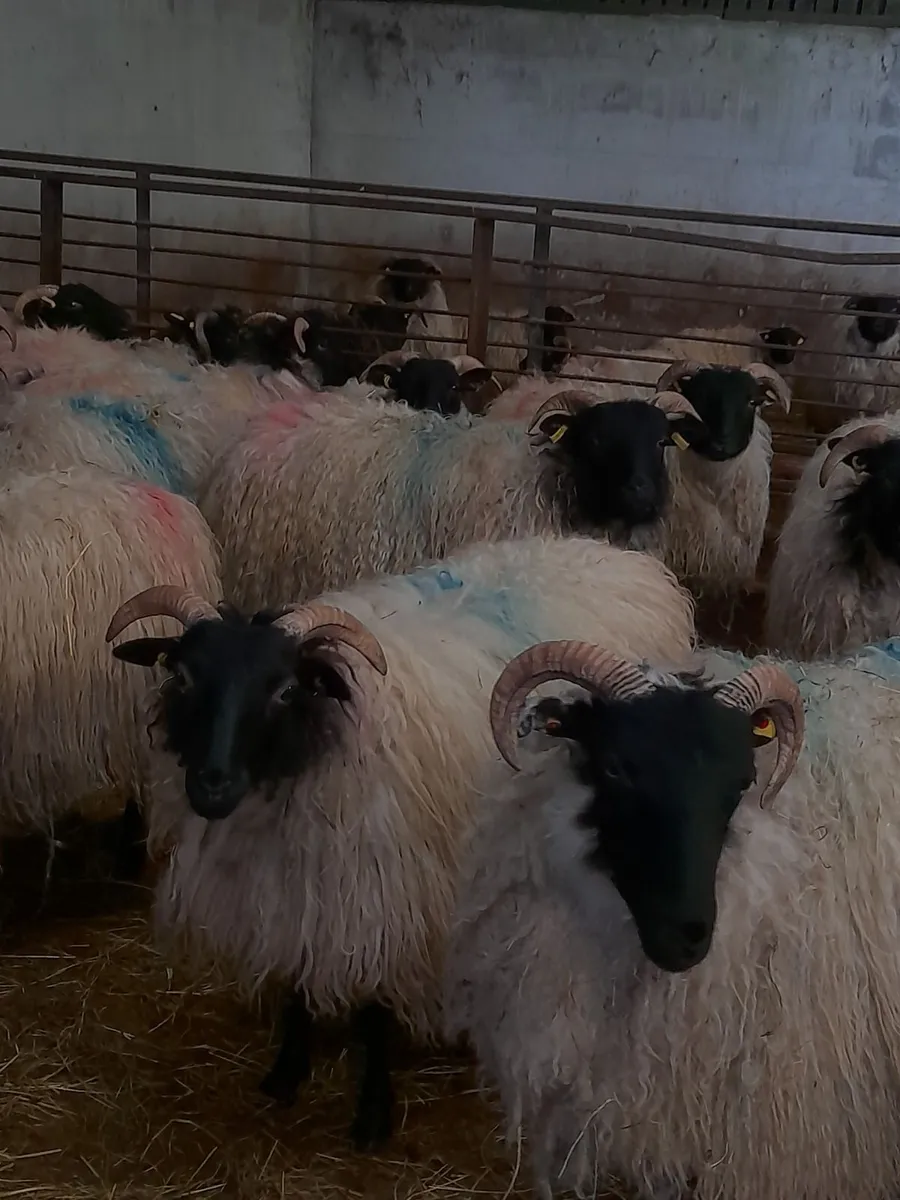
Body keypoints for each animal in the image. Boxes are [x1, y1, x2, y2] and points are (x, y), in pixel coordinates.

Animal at [104, 532, 697, 1150]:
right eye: (184, 677)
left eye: (286, 690)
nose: (211, 784)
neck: (323, 739)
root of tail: (613, 553)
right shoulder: (298, 889)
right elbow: (296, 981)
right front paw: (287, 1072)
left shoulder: (384, 895)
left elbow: (373, 1012)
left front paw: (372, 1113)